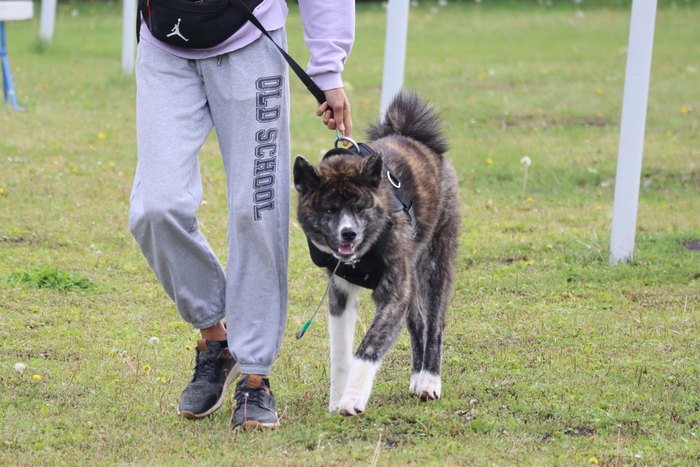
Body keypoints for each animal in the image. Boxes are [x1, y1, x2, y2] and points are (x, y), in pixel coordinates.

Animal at [293, 91, 460, 415]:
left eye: (360, 208)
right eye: (330, 210)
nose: (349, 234)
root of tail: (413, 136)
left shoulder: (393, 295)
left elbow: (368, 348)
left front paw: (353, 398)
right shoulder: (340, 296)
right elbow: (340, 354)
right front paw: (338, 398)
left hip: (435, 261)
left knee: (434, 324)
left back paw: (429, 381)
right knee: (418, 322)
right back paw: (416, 377)